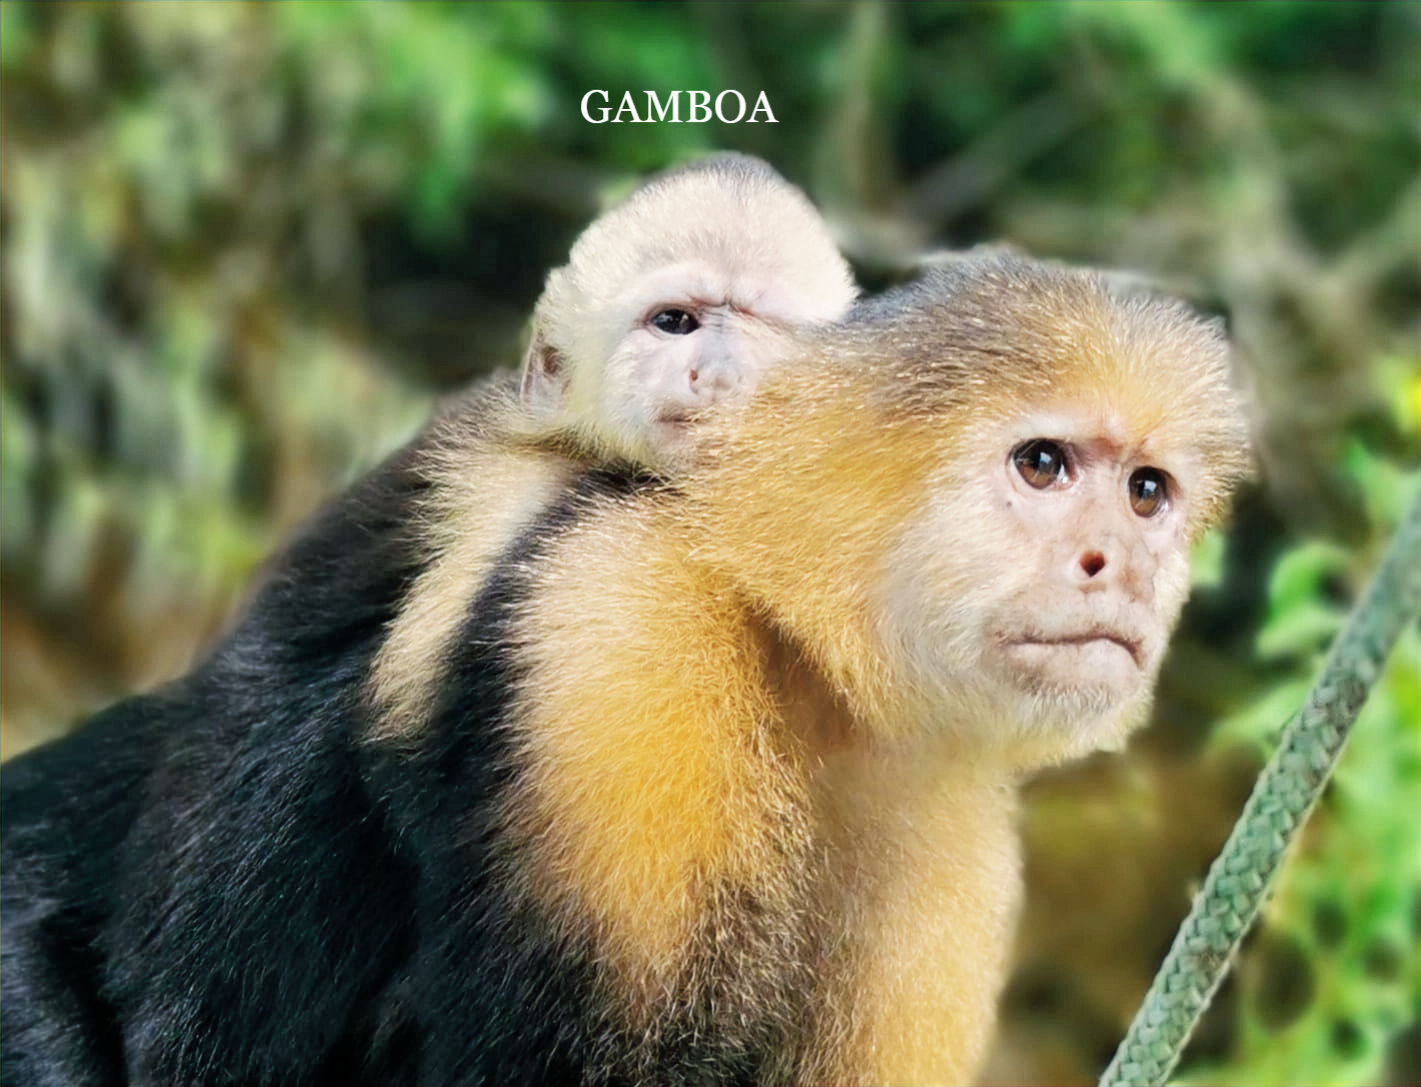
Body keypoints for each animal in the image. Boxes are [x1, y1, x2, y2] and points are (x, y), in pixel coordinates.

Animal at [0, 252, 1249, 1086]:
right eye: (1042, 466)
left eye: (1145, 492)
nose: (1117, 566)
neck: (801, 654)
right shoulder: (623, 633)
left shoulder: (941, 814)